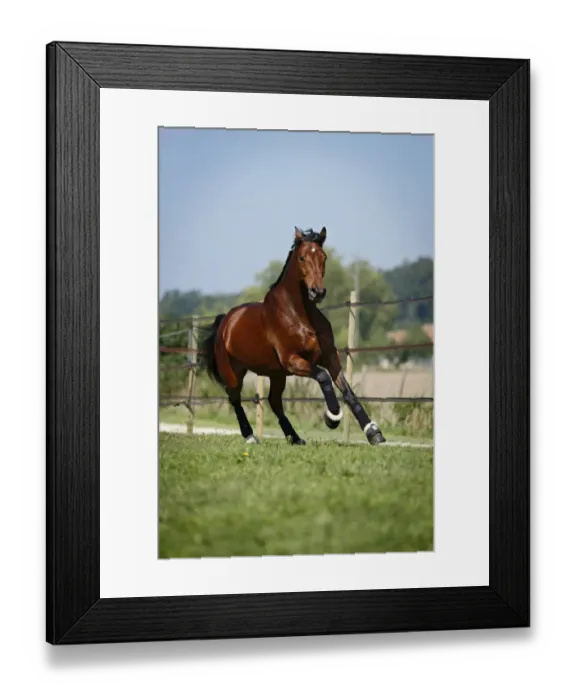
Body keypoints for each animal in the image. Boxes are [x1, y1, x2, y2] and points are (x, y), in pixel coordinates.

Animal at [199, 226, 386, 447]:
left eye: (323, 257)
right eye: (302, 258)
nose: (317, 292)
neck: (299, 315)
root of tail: (226, 321)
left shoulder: (330, 357)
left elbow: (348, 392)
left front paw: (374, 433)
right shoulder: (292, 361)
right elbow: (323, 377)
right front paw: (332, 417)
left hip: (276, 374)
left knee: (274, 401)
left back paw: (295, 438)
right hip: (234, 371)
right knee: (235, 398)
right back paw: (251, 436)